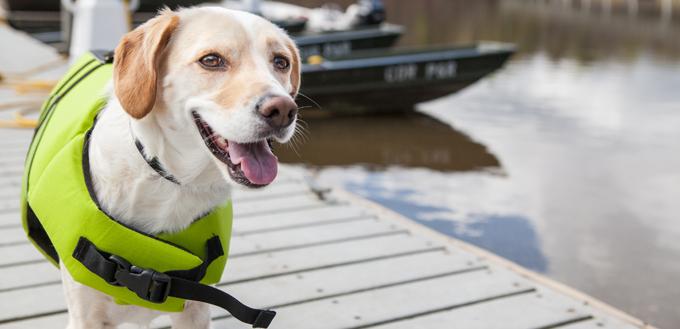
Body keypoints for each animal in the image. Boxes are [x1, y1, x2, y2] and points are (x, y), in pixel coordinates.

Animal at [61, 6, 300, 326]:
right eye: (211, 60)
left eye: (281, 62)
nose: (283, 110)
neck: (170, 182)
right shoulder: (85, 317)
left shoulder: (196, 311)